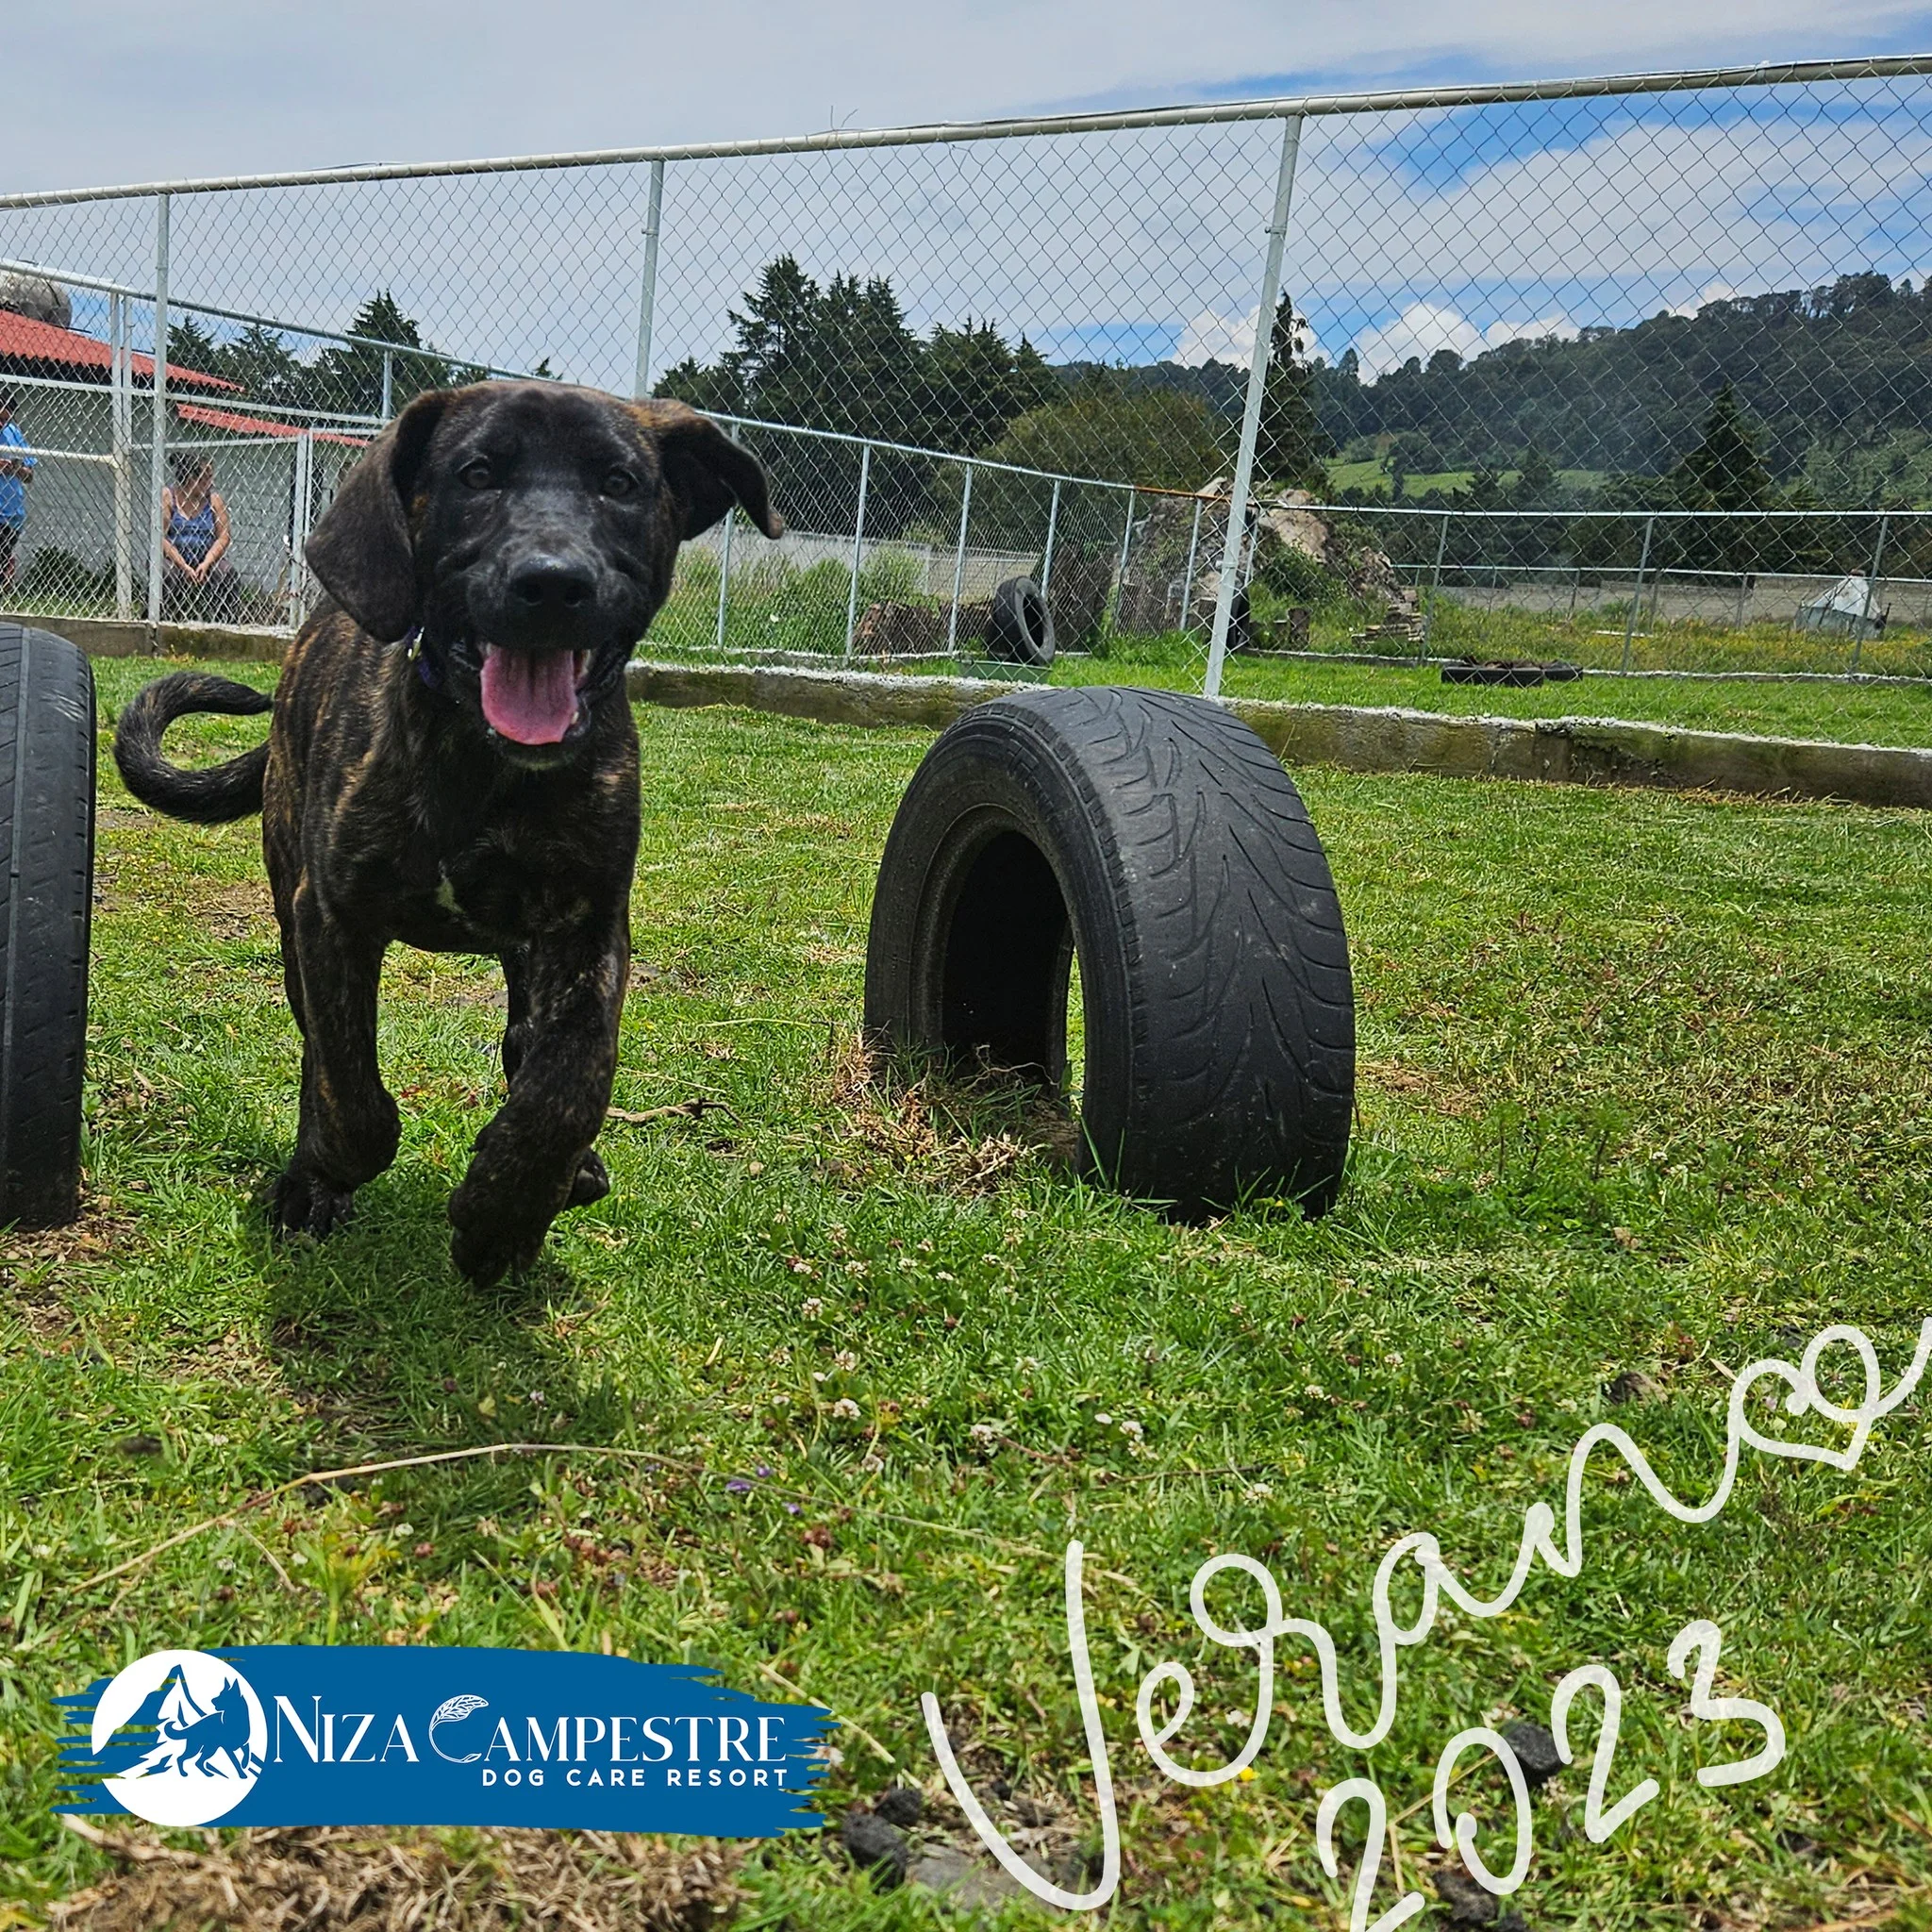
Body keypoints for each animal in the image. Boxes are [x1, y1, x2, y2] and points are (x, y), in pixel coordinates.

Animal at [116, 380, 780, 1282]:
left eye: (619, 484)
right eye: (477, 475)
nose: (553, 584)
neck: (485, 766)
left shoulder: (588, 927)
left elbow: (569, 1084)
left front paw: (507, 1214)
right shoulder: (333, 919)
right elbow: (350, 1092)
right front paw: (330, 1173)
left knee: (525, 1042)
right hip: (291, 908)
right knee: (317, 1048)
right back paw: (311, 1180)